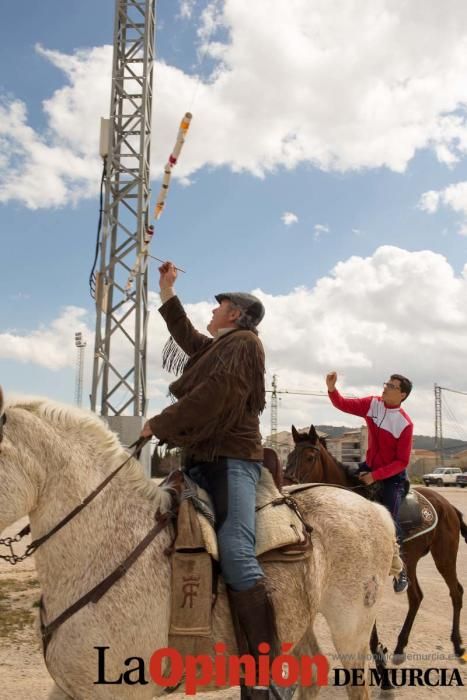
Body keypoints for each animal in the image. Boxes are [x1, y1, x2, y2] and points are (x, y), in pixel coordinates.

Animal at [282, 424, 467, 664]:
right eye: (289, 455)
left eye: (310, 457)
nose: (286, 483)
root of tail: (449, 507)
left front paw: (377, 651)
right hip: (412, 561)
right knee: (416, 596)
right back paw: (400, 646)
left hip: (444, 557)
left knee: (456, 591)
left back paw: (457, 644)